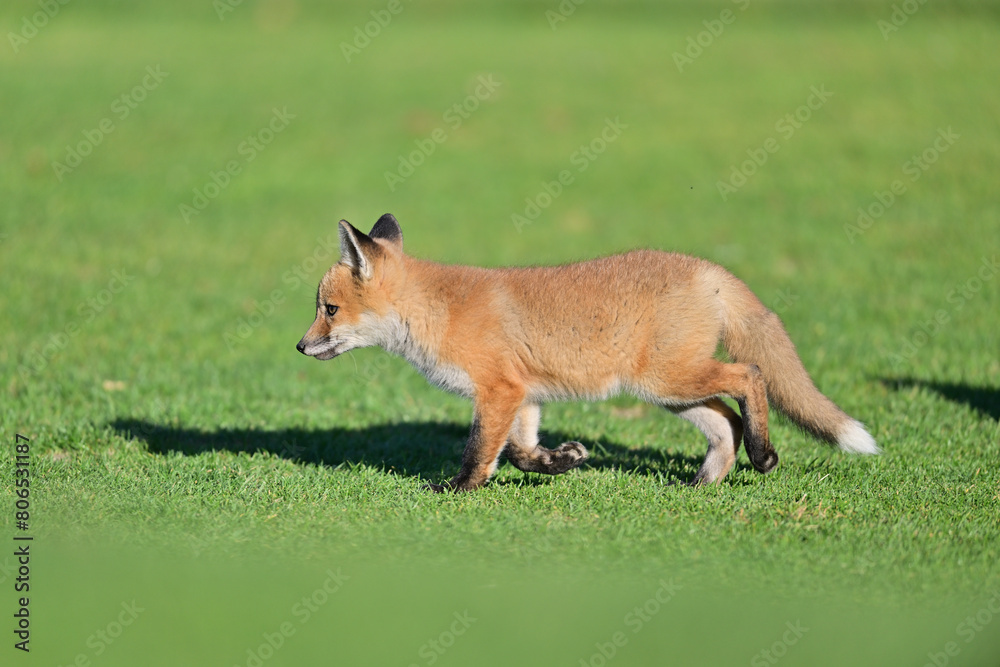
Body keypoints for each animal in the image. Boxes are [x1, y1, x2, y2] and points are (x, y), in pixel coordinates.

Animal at [296, 213, 879, 492]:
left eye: (329, 309)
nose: (300, 345)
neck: (439, 311)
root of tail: (709, 269)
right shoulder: (523, 394)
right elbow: (522, 453)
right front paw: (563, 461)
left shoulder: (497, 391)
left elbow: (480, 452)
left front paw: (456, 489)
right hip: (670, 391)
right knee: (725, 423)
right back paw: (704, 482)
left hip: (669, 379)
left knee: (751, 375)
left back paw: (762, 455)